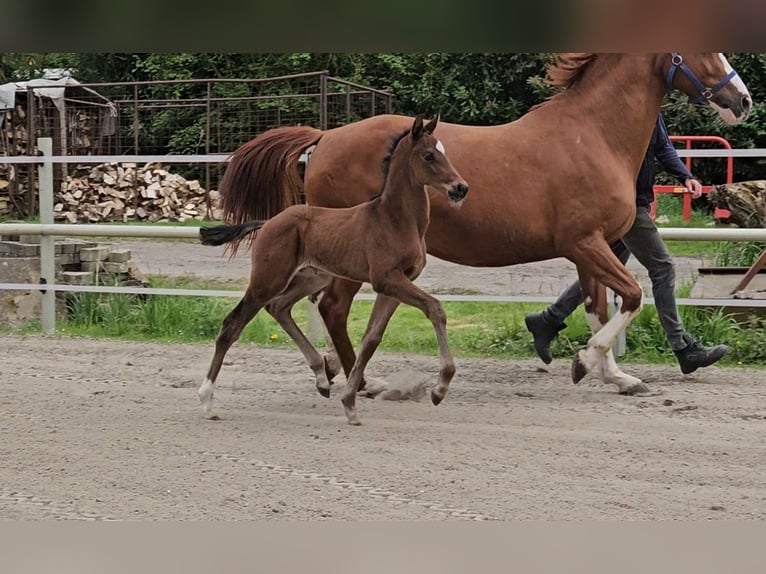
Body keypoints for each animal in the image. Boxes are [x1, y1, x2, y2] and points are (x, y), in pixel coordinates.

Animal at [196, 115, 468, 426]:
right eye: (429, 155)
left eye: (444, 151)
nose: (460, 188)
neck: (395, 219)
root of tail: (267, 222)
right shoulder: (387, 279)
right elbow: (435, 308)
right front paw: (439, 389)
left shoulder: (397, 283)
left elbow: (371, 339)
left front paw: (349, 403)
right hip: (268, 280)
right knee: (232, 325)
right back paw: (206, 401)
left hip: (311, 278)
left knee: (278, 307)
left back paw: (321, 377)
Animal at [219, 53, 752, 396]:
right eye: (702, 46)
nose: (743, 99)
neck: (593, 136)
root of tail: (324, 138)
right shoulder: (586, 243)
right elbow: (634, 297)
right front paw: (585, 362)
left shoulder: (591, 248)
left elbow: (599, 307)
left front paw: (613, 375)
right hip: (353, 258)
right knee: (330, 307)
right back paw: (362, 382)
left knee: (312, 306)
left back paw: (334, 374)